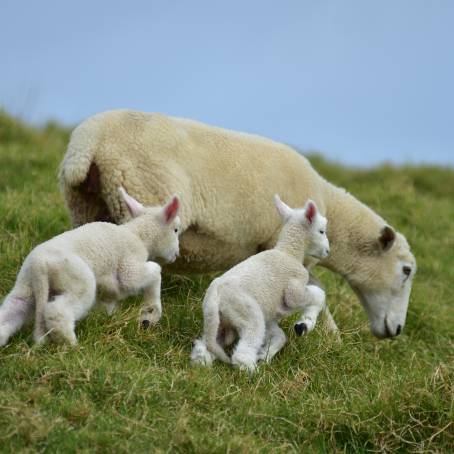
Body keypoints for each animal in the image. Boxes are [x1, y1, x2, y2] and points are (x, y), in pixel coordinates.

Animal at [0, 187, 181, 344]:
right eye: (176, 230)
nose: (176, 254)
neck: (138, 235)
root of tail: (39, 267)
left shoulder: (109, 287)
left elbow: (109, 301)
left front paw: (110, 317)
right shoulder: (129, 268)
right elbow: (153, 271)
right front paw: (152, 311)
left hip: (25, 288)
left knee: (11, 312)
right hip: (78, 281)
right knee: (57, 311)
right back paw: (71, 345)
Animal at [191, 196, 330, 372]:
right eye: (321, 231)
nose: (327, 251)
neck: (289, 252)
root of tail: (214, 297)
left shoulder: (269, 316)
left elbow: (280, 337)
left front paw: (265, 355)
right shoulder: (294, 290)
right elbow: (318, 295)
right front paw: (306, 323)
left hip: (219, 322)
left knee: (205, 346)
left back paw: (202, 362)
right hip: (248, 313)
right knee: (242, 353)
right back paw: (254, 372)